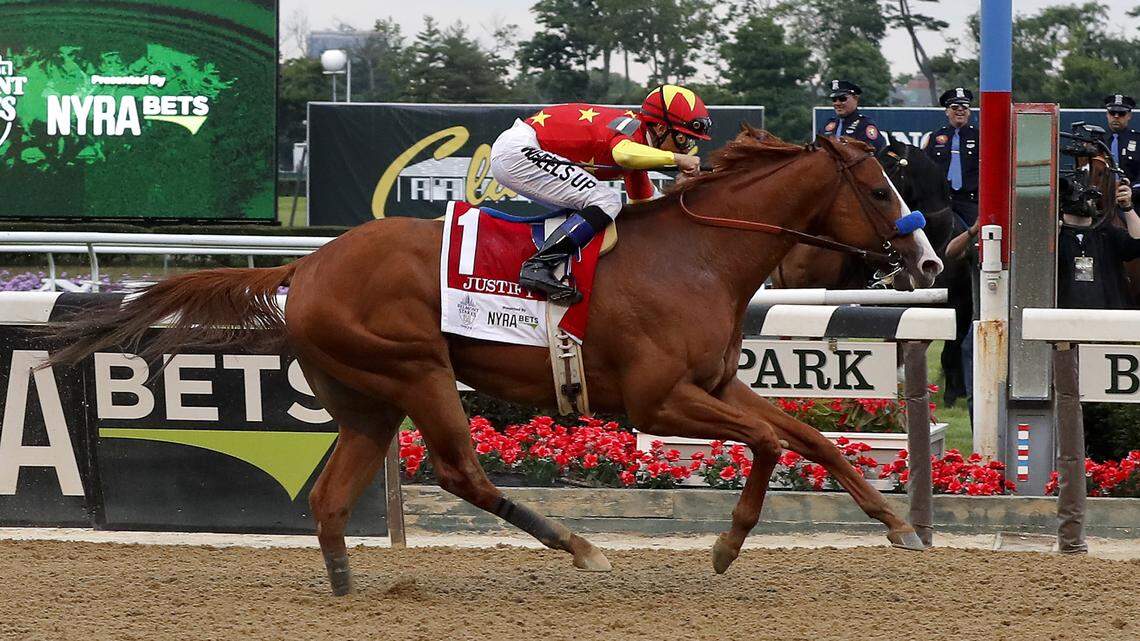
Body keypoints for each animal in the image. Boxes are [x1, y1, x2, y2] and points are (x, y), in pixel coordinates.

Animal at [48, 128, 942, 596]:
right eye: (879, 187)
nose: (930, 262)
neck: (698, 254)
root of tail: (308, 263)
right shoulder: (657, 400)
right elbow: (765, 443)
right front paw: (726, 543)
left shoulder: (717, 381)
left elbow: (809, 438)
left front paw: (900, 525)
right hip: (417, 370)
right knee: (460, 471)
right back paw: (578, 544)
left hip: (366, 399)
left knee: (333, 499)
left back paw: (345, 586)